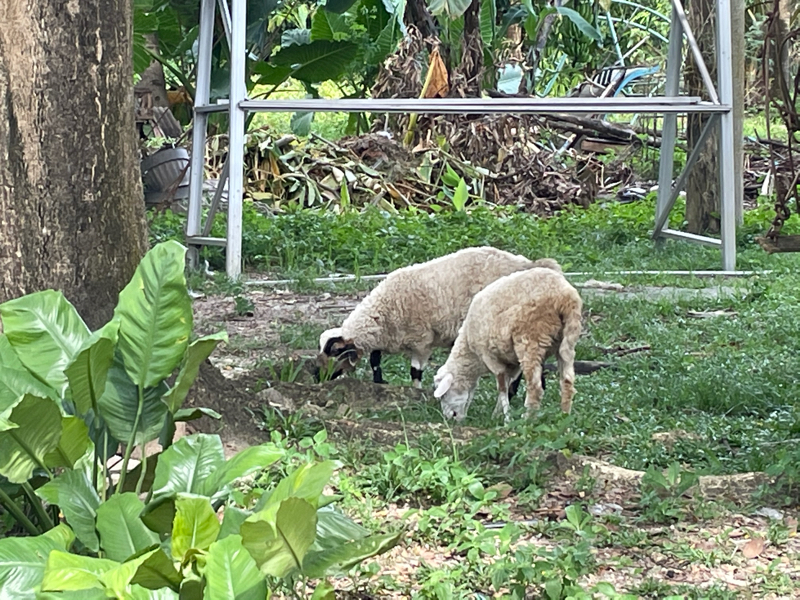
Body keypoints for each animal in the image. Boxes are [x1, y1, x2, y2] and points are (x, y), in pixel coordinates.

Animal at [316, 247, 562, 389]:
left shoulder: (421, 341)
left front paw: (416, 392)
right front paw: (379, 382)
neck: (383, 310)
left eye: (335, 352)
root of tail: (527, 264)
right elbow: (375, 360)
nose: (317, 377)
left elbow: (415, 371)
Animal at [433, 266, 582, 422]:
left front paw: (506, 419)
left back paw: (528, 418)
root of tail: (564, 296)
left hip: (530, 339)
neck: (471, 354)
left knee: (535, 386)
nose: (448, 418)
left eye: (443, 395)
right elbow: (507, 386)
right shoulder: (512, 364)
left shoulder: (491, 358)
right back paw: (564, 416)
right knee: (567, 381)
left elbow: (502, 388)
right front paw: (497, 414)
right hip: (567, 339)